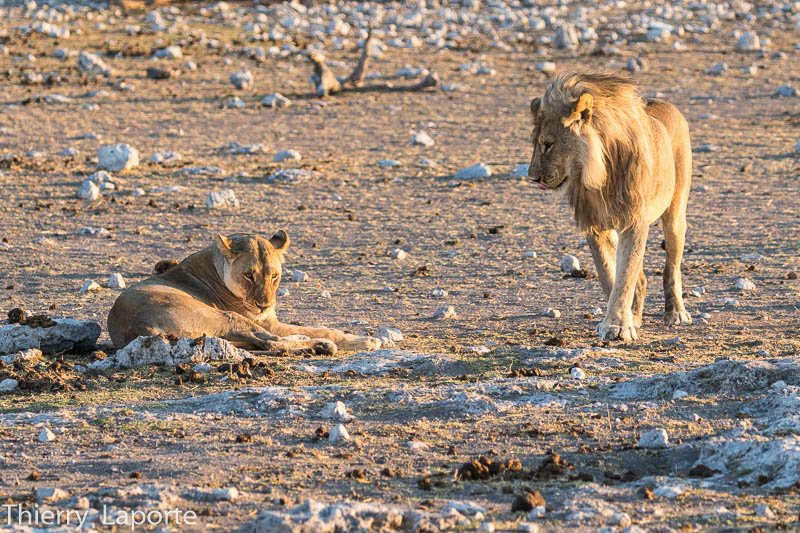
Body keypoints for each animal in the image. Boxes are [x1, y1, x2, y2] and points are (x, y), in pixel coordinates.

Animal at [107, 231, 382, 353]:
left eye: (274, 276)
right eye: (249, 275)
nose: (264, 305)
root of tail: (138, 328)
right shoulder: (269, 322)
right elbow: (324, 328)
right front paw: (365, 339)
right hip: (224, 317)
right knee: (270, 342)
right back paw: (321, 346)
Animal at [528, 71, 692, 341]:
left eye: (548, 144)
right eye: (535, 143)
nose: (533, 177)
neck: (598, 173)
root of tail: (665, 104)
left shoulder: (634, 221)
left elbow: (625, 275)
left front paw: (617, 325)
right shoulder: (594, 224)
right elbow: (609, 275)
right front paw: (622, 320)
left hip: (676, 214)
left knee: (672, 268)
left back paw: (676, 312)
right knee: (641, 277)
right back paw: (636, 314)